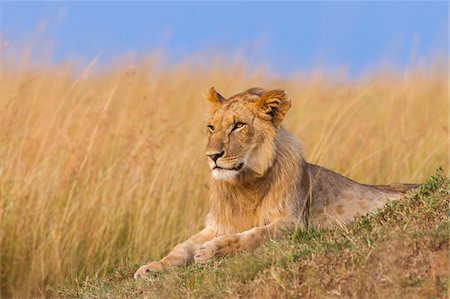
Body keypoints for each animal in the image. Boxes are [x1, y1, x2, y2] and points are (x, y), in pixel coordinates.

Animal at [134, 88, 418, 280]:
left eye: (238, 125)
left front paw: (210, 251)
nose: (212, 156)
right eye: (211, 127)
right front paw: (151, 267)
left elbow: (253, 235)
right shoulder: (217, 225)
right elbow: (181, 247)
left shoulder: (294, 223)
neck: (244, 184)